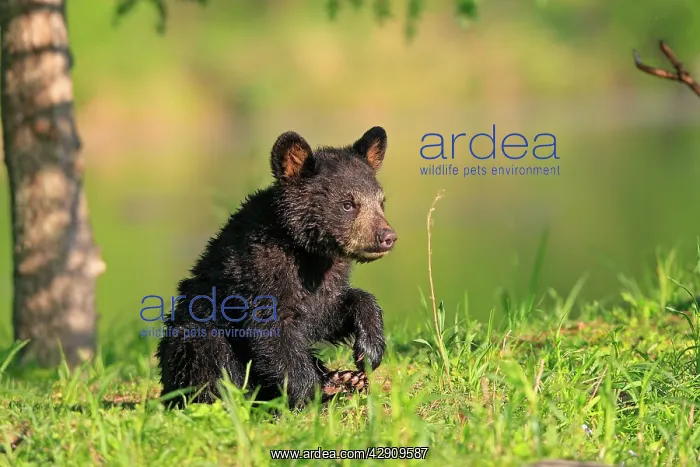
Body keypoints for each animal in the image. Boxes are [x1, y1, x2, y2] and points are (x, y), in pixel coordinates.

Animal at [156, 126, 397, 409]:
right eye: (348, 204)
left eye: (381, 202)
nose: (387, 236)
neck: (307, 252)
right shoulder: (260, 271)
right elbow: (272, 331)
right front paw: (314, 393)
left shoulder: (325, 279)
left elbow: (328, 311)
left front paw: (369, 349)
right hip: (188, 338)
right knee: (205, 348)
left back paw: (346, 378)